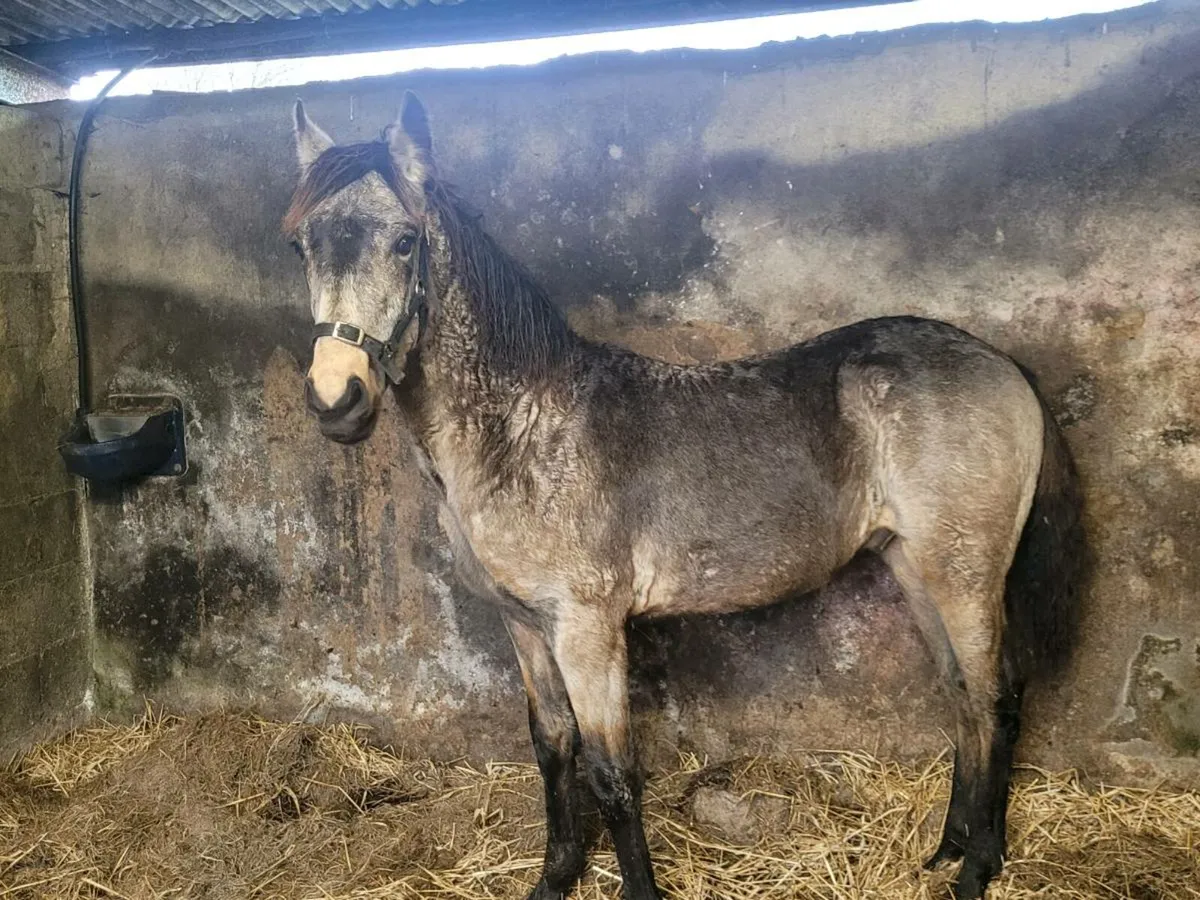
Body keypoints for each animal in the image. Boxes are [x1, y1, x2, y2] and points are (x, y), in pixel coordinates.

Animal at [281, 92, 1086, 900]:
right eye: (301, 246)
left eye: (404, 242)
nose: (335, 399)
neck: (525, 430)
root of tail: (1001, 363)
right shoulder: (526, 625)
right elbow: (552, 748)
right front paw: (554, 877)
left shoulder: (588, 629)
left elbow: (612, 774)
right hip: (913, 567)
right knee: (962, 697)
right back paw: (946, 849)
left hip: (965, 575)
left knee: (997, 696)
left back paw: (978, 867)